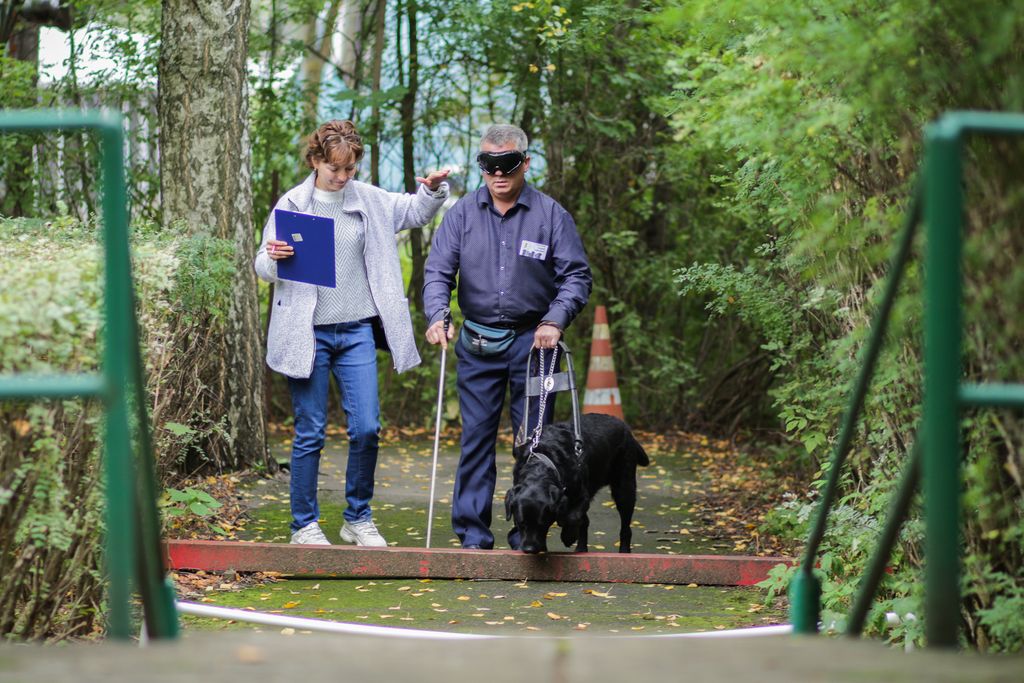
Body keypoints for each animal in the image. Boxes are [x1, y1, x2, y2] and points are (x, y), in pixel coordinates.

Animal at [503, 411, 647, 557]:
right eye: (520, 524)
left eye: (542, 524)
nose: (529, 549)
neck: (543, 462)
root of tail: (625, 427)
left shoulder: (582, 495)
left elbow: (573, 517)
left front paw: (568, 537)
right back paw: (581, 549)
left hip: (624, 488)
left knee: (626, 527)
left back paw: (624, 551)